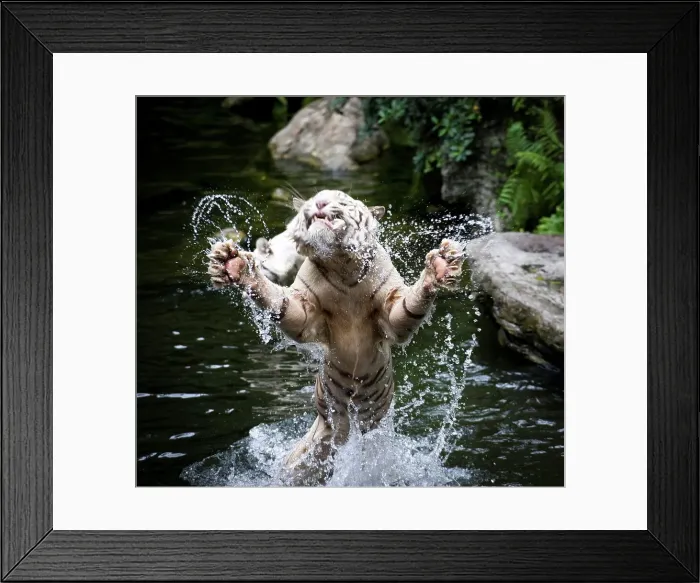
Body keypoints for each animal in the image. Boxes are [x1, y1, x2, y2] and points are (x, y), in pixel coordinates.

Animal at [207, 189, 464, 485]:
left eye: (340, 200)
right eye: (313, 200)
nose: (319, 203)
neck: (343, 266)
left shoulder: (391, 308)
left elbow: (406, 307)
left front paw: (440, 265)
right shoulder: (303, 309)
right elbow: (280, 303)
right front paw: (234, 263)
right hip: (321, 436)